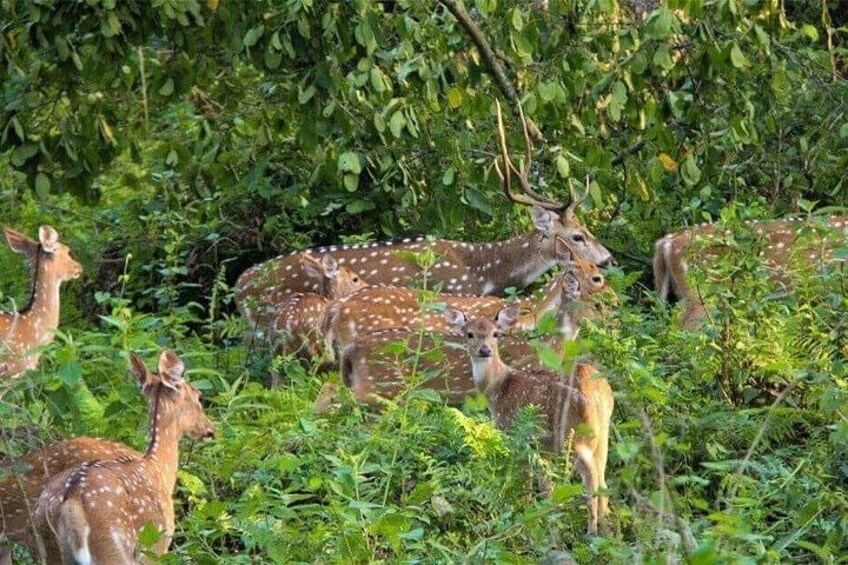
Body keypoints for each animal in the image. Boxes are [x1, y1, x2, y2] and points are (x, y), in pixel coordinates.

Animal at [26, 349, 215, 564]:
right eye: (199, 397)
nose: (210, 429)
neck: (159, 469)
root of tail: (70, 499)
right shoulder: (156, 544)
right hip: (112, 544)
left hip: (46, 545)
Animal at [453, 305, 614, 536]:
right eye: (469, 334)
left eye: (496, 333)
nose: (485, 351)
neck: (498, 388)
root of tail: (594, 391)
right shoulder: (542, 446)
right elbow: (546, 484)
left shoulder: (515, 433)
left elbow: (527, 478)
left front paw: (525, 512)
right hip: (602, 433)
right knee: (602, 479)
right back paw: (607, 527)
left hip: (574, 434)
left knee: (590, 479)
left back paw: (591, 531)